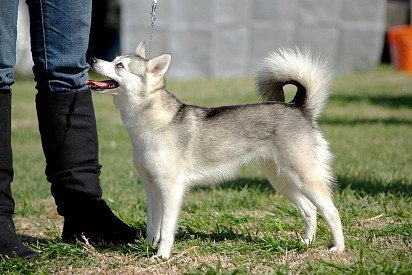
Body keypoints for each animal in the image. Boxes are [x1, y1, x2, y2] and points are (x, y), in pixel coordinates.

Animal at [87, 42, 344, 260]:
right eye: (114, 59)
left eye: (119, 65)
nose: (92, 59)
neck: (149, 122)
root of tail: (297, 107)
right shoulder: (152, 187)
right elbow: (153, 226)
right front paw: (149, 248)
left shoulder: (171, 189)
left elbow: (167, 229)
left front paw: (161, 257)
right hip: (282, 181)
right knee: (310, 209)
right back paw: (306, 243)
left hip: (305, 178)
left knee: (331, 211)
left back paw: (338, 248)